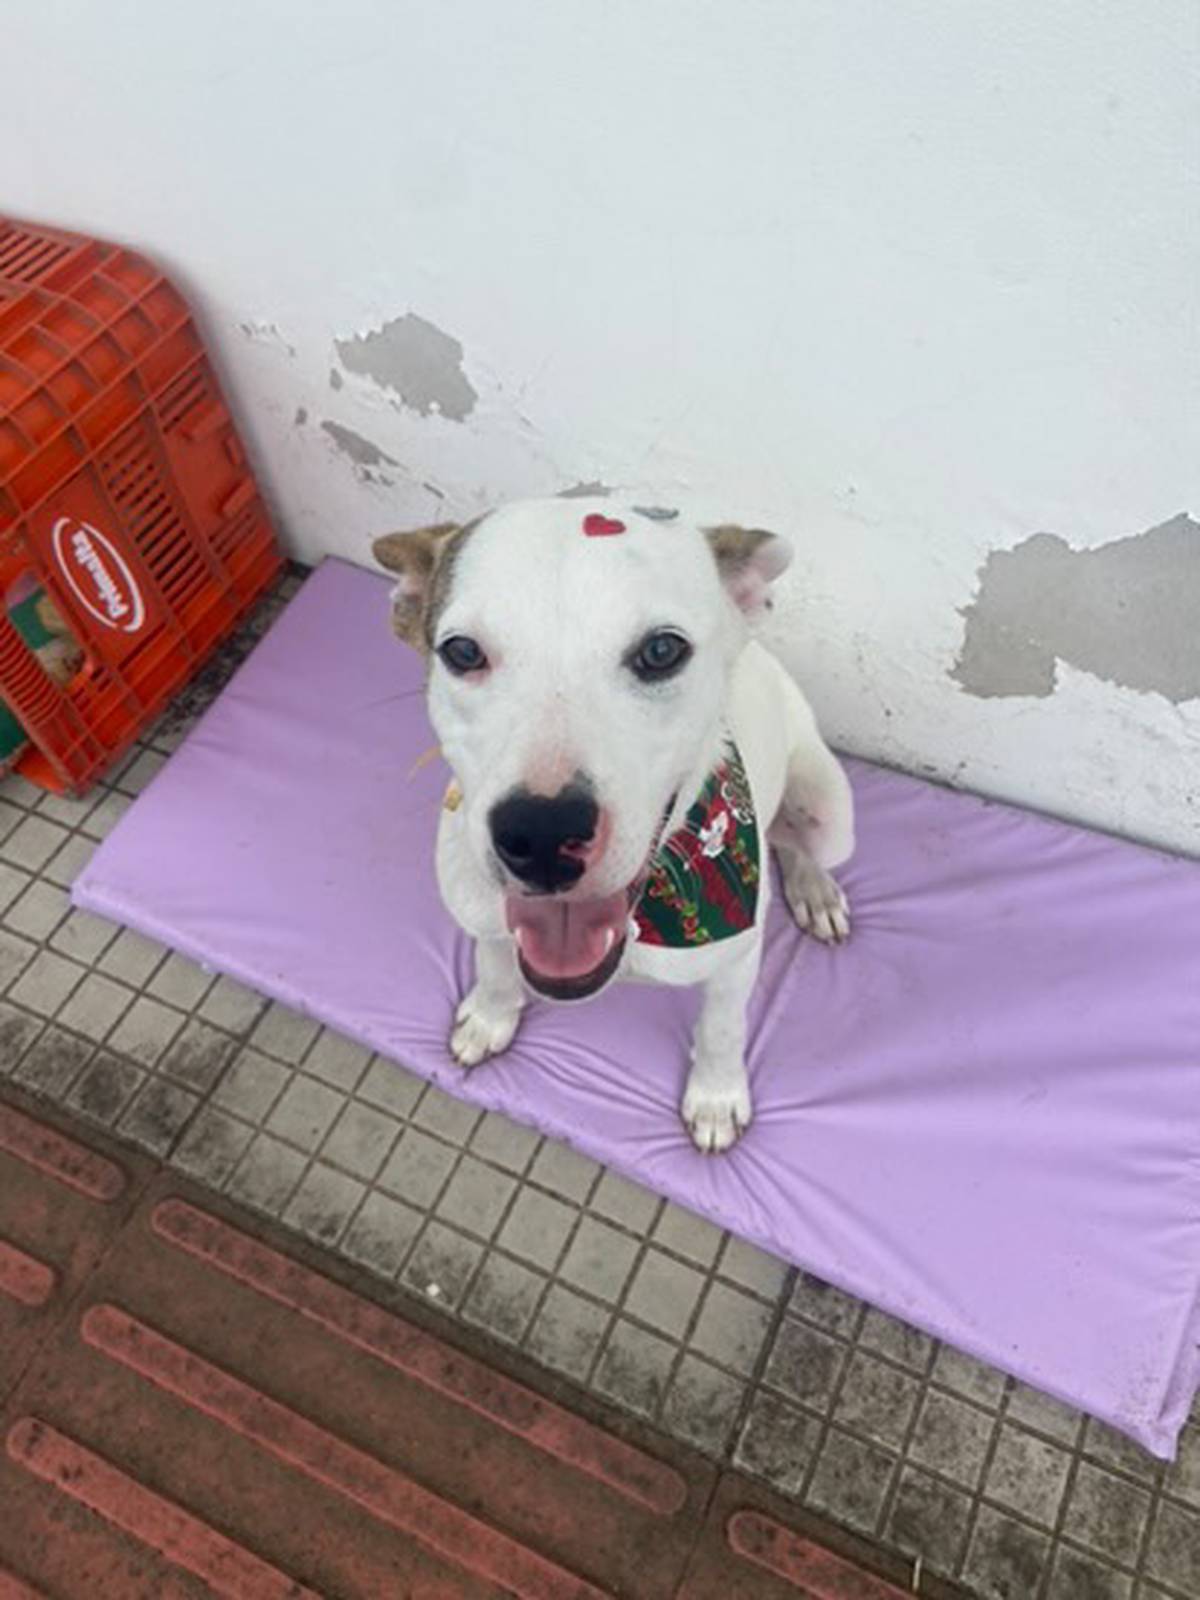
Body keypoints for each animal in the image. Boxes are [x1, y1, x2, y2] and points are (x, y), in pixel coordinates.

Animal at [373, 498, 854, 1152]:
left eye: (661, 652)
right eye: (463, 653)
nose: (541, 835)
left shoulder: (735, 959)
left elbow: (723, 1026)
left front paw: (716, 1096)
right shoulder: (482, 913)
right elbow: (494, 961)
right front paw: (491, 1015)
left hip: (829, 809)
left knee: (795, 841)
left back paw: (815, 891)